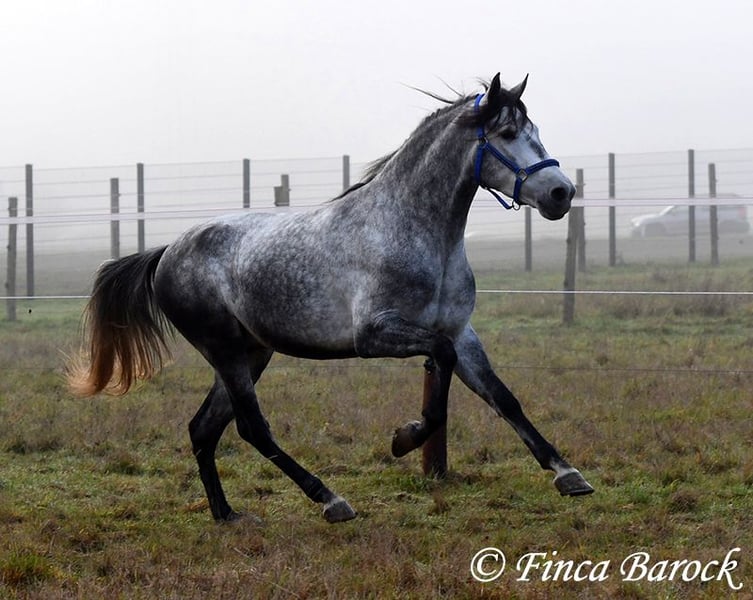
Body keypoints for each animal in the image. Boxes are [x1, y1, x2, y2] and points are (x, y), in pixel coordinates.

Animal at [68, 73, 594, 524]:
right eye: (506, 133)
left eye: (534, 130)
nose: (561, 193)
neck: (414, 231)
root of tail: (166, 253)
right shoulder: (376, 334)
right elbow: (439, 377)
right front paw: (404, 439)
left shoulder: (462, 333)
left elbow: (503, 398)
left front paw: (568, 475)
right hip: (225, 351)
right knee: (251, 428)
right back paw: (330, 500)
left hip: (251, 352)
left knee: (204, 428)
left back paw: (228, 515)